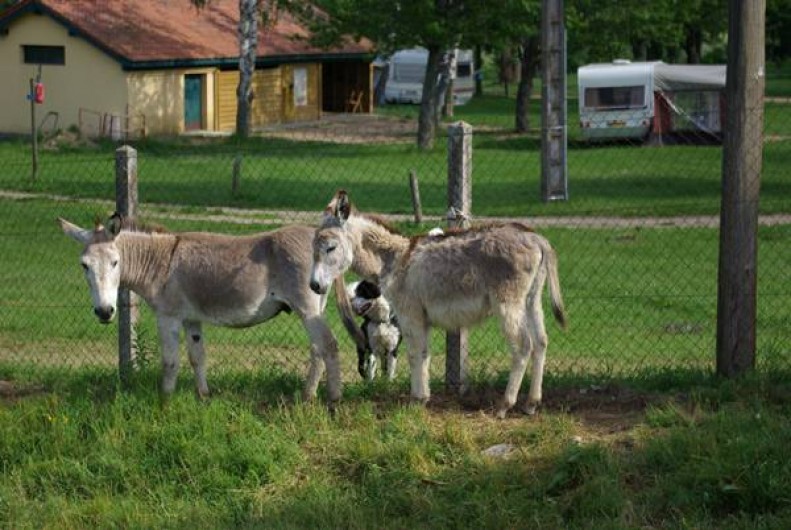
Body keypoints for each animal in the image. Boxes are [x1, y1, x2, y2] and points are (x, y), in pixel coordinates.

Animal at [59, 212, 360, 407]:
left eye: (115, 262)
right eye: (84, 265)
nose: (104, 312)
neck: (159, 263)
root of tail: (318, 239)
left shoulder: (168, 316)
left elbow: (170, 361)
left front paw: (164, 402)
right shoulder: (191, 319)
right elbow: (197, 357)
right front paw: (203, 396)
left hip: (306, 307)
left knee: (329, 344)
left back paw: (333, 400)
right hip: (316, 304)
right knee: (317, 348)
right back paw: (307, 396)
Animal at [309, 190, 567, 418]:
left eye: (330, 247)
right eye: (313, 249)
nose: (314, 286)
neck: (394, 258)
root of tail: (536, 237)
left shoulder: (410, 315)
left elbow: (414, 354)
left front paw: (416, 400)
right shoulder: (421, 319)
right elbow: (424, 354)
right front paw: (423, 398)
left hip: (508, 303)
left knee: (523, 346)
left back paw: (505, 405)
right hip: (531, 300)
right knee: (541, 342)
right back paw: (531, 403)